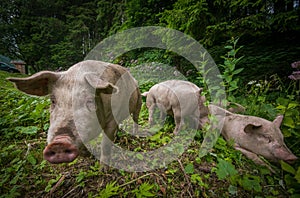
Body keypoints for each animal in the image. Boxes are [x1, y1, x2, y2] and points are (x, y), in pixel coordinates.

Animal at [7, 60, 142, 164]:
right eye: (53, 101)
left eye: (90, 101)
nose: (60, 142)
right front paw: (88, 156)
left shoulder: (112, 119)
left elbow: (105, 144)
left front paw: (103, 168)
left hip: (139, 103)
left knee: (135, 119)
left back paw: (135, 135)